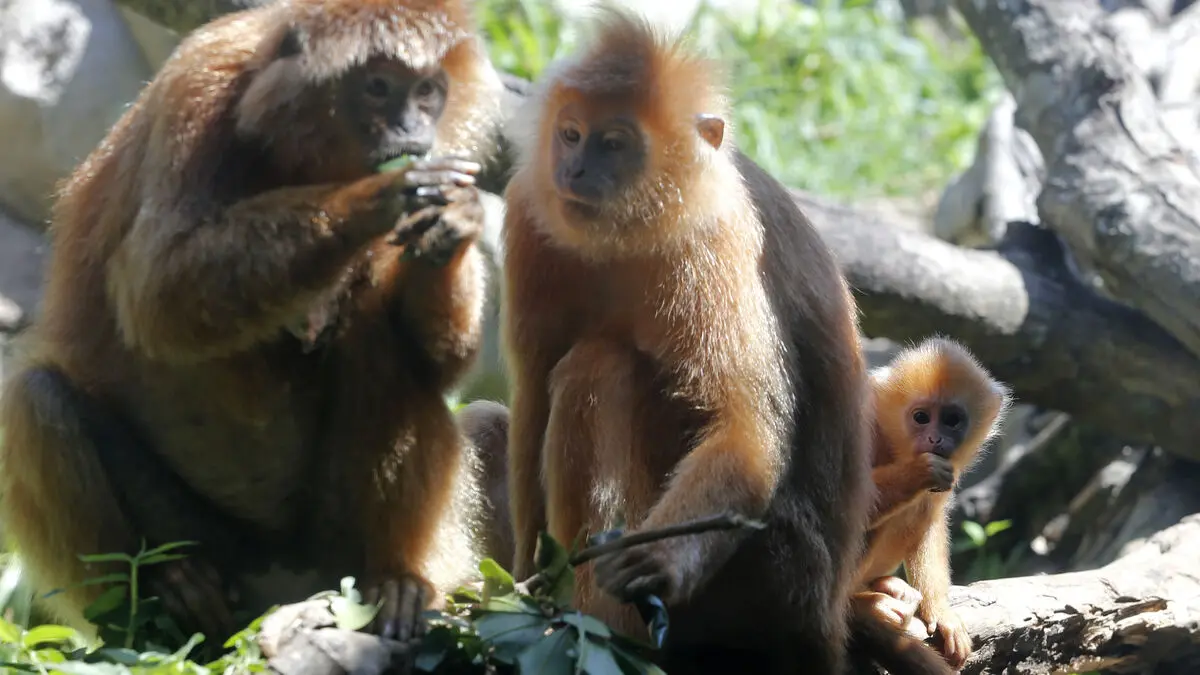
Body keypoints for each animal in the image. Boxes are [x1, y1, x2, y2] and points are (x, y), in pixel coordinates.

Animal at [0, 0, 504, 647]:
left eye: (427, 92)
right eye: (377, 87)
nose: (412, 132)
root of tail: (281, 585)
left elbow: (442, 359)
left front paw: (456, 219)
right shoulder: (199, 89)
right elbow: (156, 291)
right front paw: (378, 193)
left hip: (333, 550)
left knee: (386, 345)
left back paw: (396, 583)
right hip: (202, 538)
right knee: (35, 400)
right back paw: (163, 597)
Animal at [498, 8, 875, 673]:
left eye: (614, 143)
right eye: (571, 134)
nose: (575, 169)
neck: (625, 237)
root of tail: (826, 621)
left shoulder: (712, 232)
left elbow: (745, 426)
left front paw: (661, 564)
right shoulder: (530, 214)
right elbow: (532, 399)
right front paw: (520, 587)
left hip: (779, 574)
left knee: (598, 367)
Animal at [852, 337, 1012, 670]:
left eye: (952, 420)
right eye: (921, 417)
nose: (936, 439)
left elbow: (933, 519)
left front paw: (940, 611)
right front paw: (916, 473)